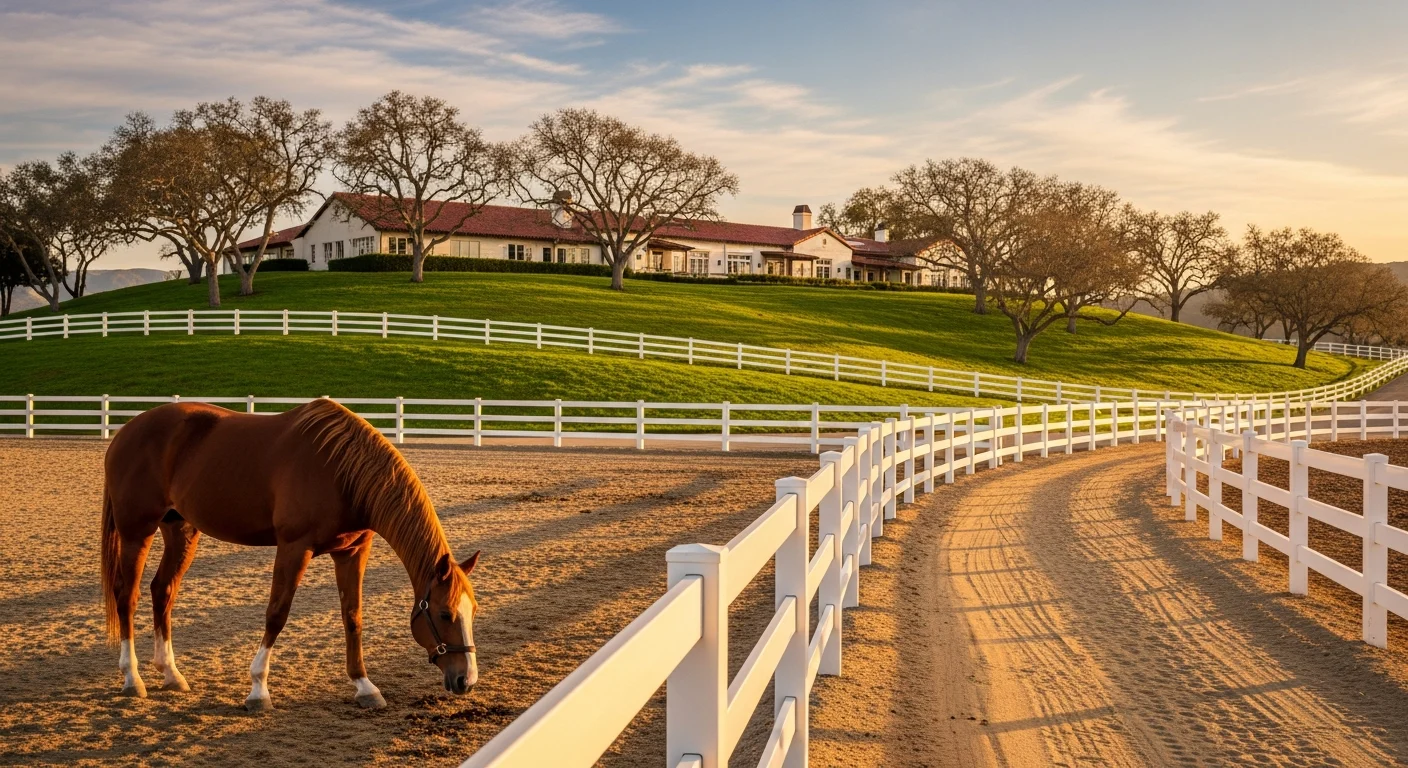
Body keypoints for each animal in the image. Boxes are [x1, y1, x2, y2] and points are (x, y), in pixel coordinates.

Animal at [100, 397, 481, 711]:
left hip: (180, 530)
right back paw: (132, 679)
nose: (466, 680)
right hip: (137, 532)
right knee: (127, 595)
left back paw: (171, 673)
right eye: (445, 614)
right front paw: (258, 690)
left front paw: (364, 686)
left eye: (473, 611)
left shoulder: (352, 551)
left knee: (162, 591)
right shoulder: (294, 547)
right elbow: (277, 614)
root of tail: (124, 432)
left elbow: (352, 617)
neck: (340, 471)